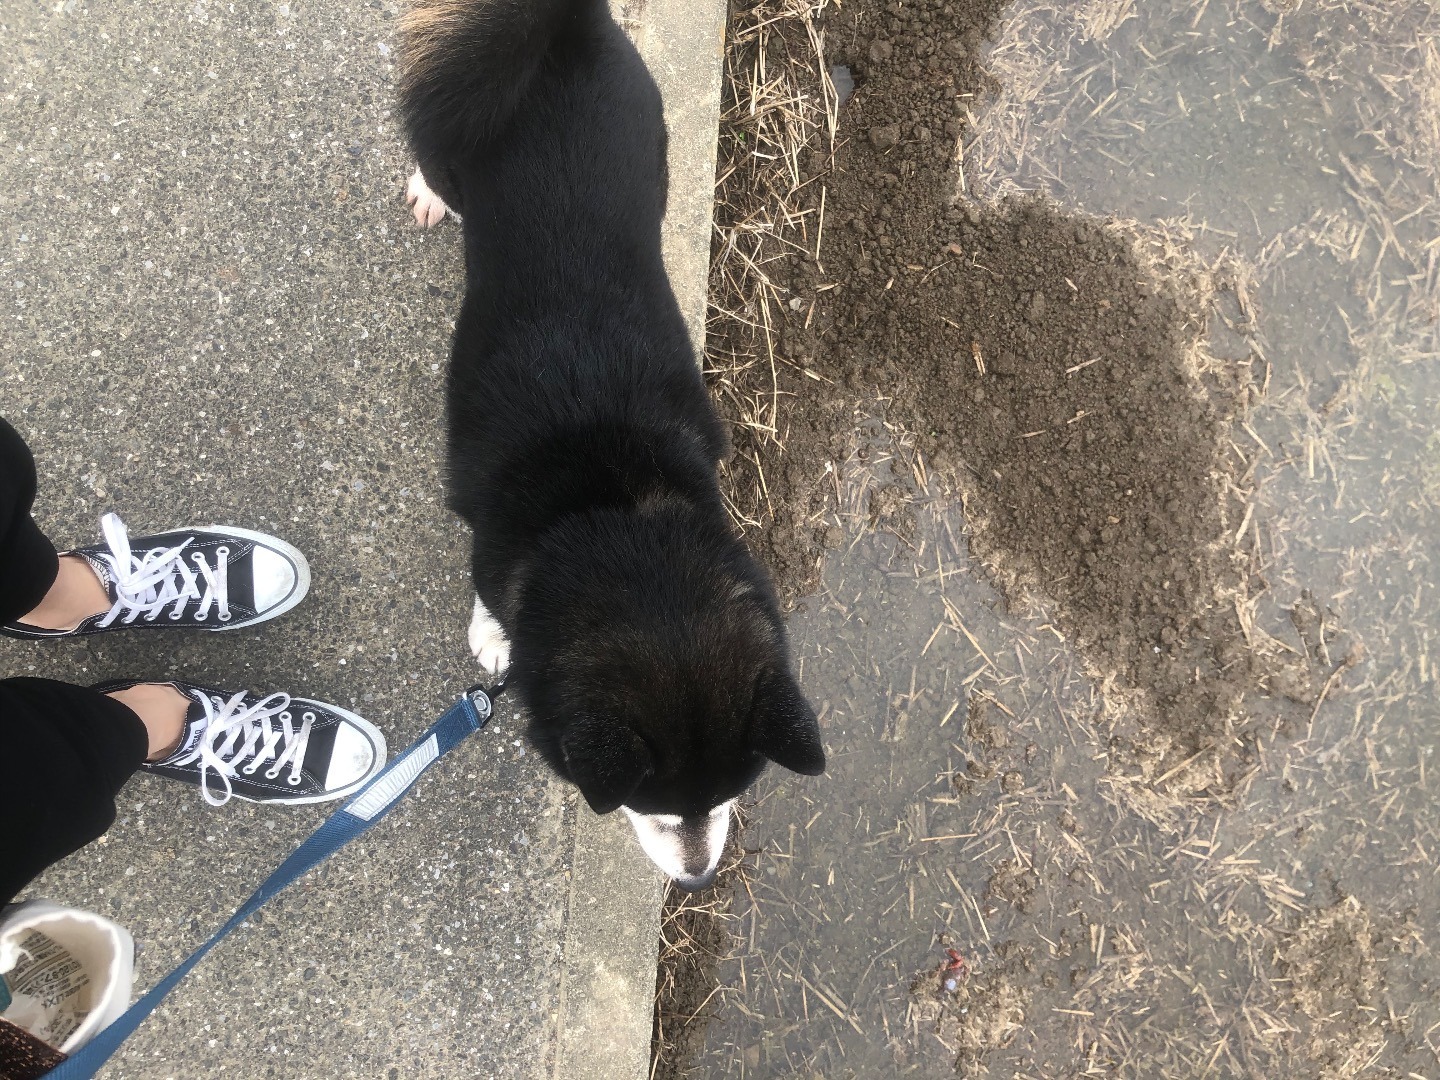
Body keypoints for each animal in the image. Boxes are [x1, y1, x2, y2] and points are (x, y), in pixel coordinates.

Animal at [397, 0, 823, 892]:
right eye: (653, 811)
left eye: (726, 803)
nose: (695, 881)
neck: (615, 504)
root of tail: (563, 23)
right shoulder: (487, 532)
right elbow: (489, 593)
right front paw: (495, 636)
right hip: (460, 131)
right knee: (432, 142)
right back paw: (424, 190)